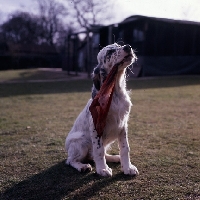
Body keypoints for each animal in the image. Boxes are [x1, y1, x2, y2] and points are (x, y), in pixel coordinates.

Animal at [65, 42, 138, 177]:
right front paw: (102, 169)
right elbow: (98, 151)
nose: (128, 47)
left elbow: (125, 148)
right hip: (80, 143)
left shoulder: (122, 125)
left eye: (119, 45)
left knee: (95, 155)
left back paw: (115, 157)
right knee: (71, 160)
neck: (115, 93)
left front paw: (127, 167)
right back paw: (82, 166)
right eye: (109, 52)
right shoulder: (96, 126)